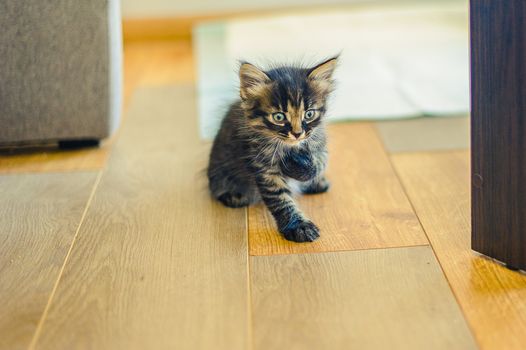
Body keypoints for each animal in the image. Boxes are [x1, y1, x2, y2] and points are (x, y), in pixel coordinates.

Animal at [206, 58, 338, 243]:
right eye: (279, 117)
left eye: (309, 114)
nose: (297, 133)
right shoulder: (264, 168)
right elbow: (281, 200)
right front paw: (299, 226)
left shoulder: (320, 145)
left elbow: (317, 165)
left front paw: (299, 167)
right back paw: (233, 195)